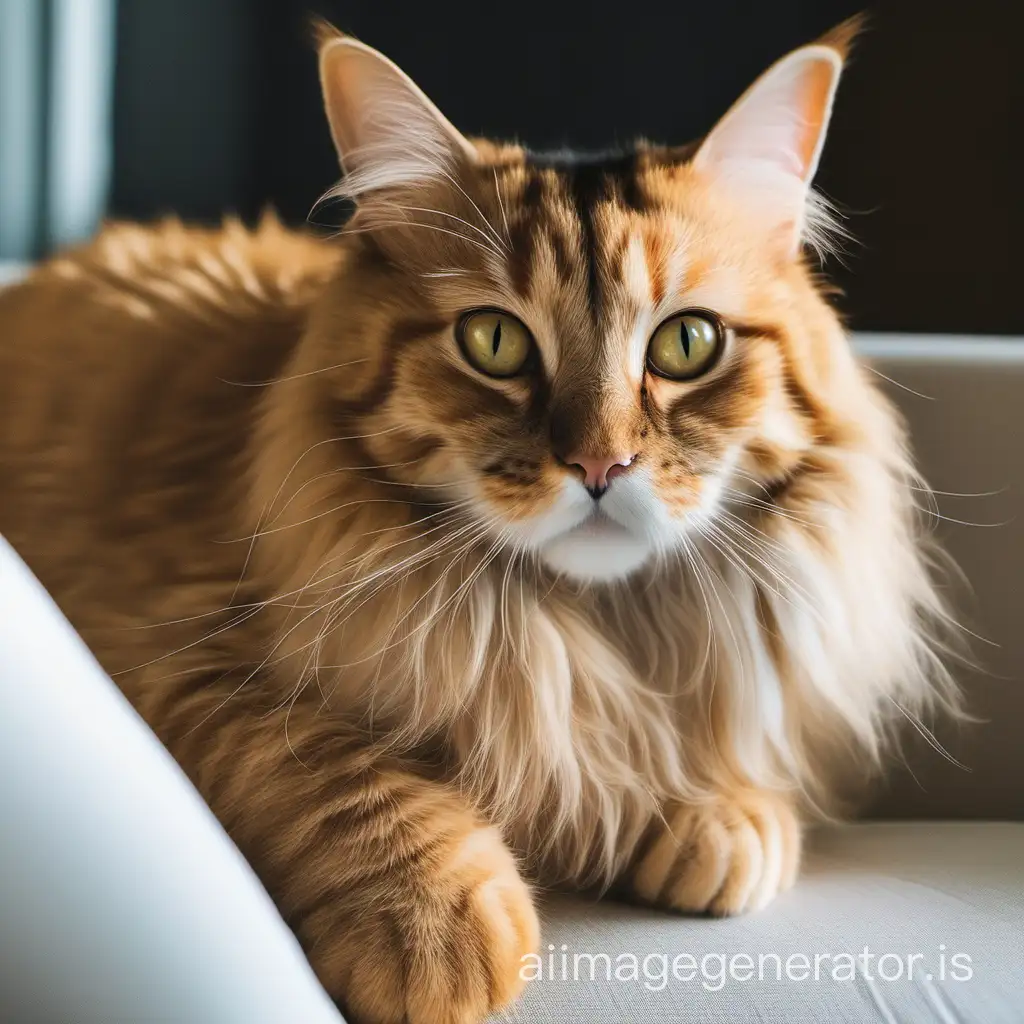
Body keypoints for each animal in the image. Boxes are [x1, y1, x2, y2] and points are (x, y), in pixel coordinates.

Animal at [0, 16, 958, 1024]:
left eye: (686, 343)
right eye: (493, 343)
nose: (600, 464)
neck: (587, 629)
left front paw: (716, 809)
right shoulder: (172, 656)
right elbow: (337, 771)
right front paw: (437, 929)